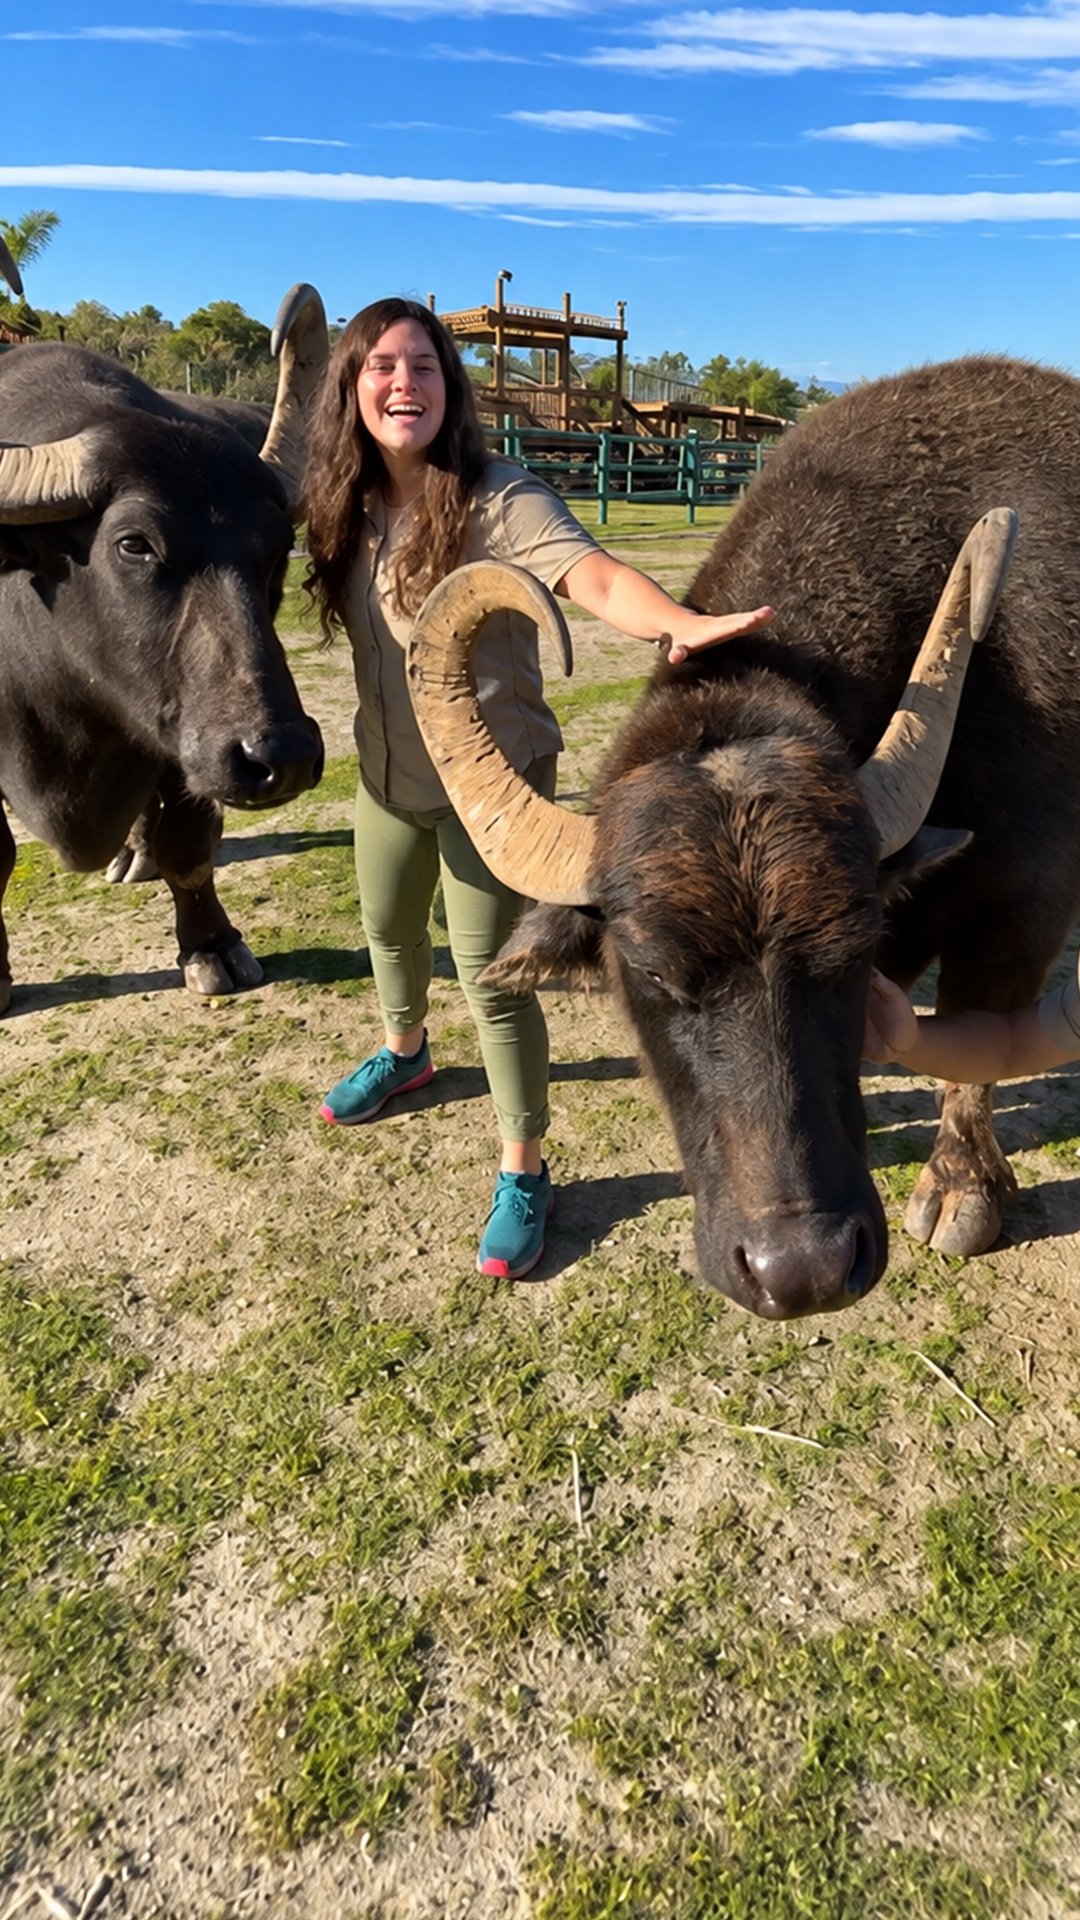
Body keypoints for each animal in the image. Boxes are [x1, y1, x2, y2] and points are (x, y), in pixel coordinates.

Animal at [0, 282, 327, 1009]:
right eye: (133, 544)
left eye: (275, 549)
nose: (283, 756)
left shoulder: (184, 744)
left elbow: (188, 841)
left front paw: (211, 945)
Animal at [401, 353, 1079, 1319]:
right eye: (650, 972)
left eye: (854, 943)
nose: (804, 1269)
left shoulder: (1025, 901)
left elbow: (980, 1036)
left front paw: (964, 1190)